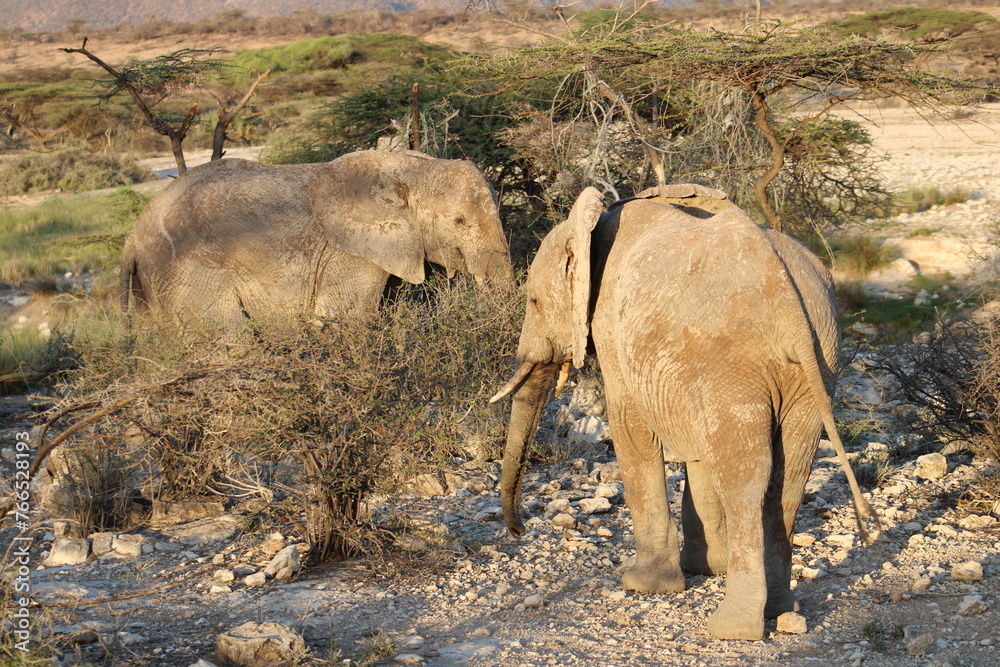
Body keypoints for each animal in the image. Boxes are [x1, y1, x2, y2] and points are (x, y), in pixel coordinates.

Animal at [120, 150, 512, 328]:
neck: (412, 167)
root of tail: (132, 238)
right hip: (188, 274)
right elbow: (345, 317)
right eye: (459, 221)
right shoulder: (349, 254)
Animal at [490, 184, 878, 641]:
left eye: (533, 301)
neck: (592, 224)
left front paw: (643, 584)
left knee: (744, 474)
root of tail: (788, 297)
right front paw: (704, 569)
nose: (519, 531)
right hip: (815, 360)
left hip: (732, 359)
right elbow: (698, 453)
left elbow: (632, 430)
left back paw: (734, 628)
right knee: (790, 472)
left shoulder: (611, 328)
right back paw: (781, 610)